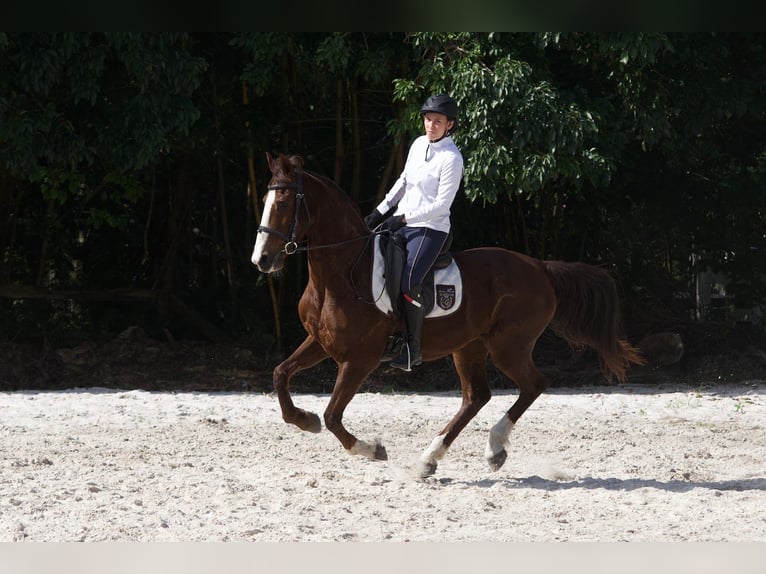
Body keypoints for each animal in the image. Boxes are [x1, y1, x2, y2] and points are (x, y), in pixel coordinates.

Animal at [250, 154, 640, 482]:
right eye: (265, 202)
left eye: (282, 203)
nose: (262, 260)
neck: (344, 273)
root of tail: (540, 268)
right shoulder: (320, 342)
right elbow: (281, 375)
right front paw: (305, 419)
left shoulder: (360, 359)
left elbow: (333, 415)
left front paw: (372, 449)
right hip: (469, 347)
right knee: (476, 397)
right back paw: (431, 458)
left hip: (508, 347)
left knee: (533, 384)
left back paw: (491, 449)